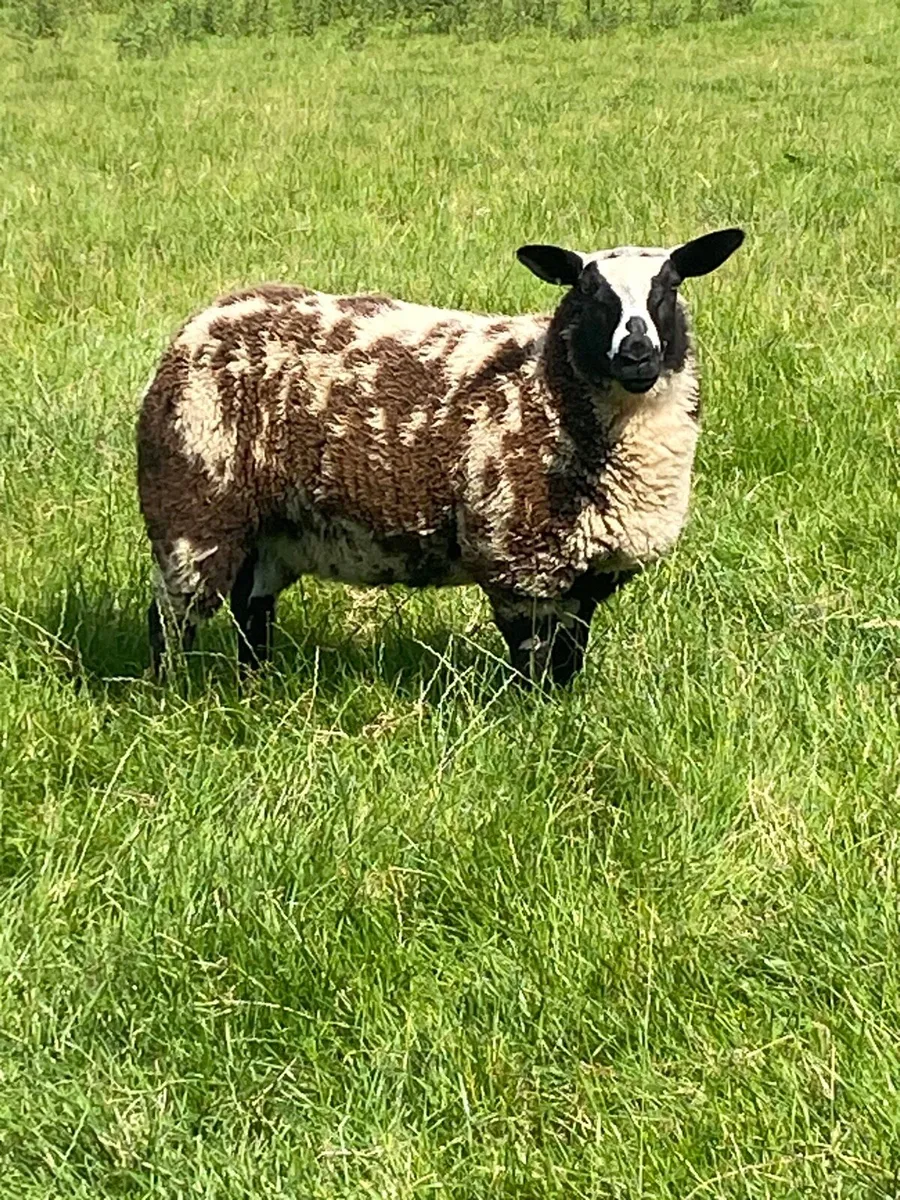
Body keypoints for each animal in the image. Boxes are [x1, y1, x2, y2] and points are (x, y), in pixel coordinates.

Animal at [137, 227, 744, 687]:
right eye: (590, 294)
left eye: (669, 287)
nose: (637, 353)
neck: (546, 384)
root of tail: (207, 316)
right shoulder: (517, 562)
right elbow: (534, 665)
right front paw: (538, 722)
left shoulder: (582, 575)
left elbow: (568, 660)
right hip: (194, 506)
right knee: (170, 615)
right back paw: (172, 694)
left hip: (272, 527)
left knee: (252, 610)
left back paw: (257, 688)